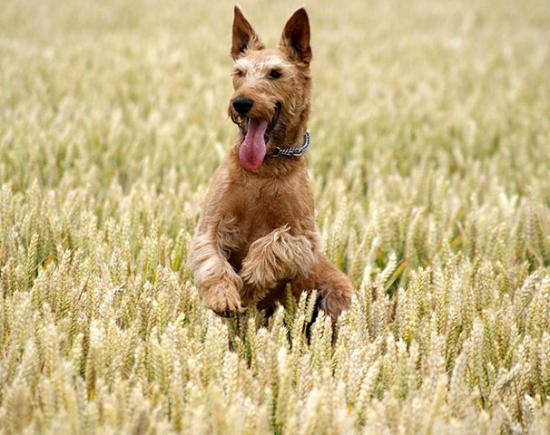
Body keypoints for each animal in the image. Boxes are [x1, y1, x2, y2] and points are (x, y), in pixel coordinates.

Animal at [189, 5, 354, 320]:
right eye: (239, 72)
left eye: (275, 73)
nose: (240, 103)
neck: (265, 167)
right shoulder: (209, 224)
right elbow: (212, 260)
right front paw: (224, 297)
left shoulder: (306, 239)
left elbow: (274, 242)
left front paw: (249, 280)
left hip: (338, 290)